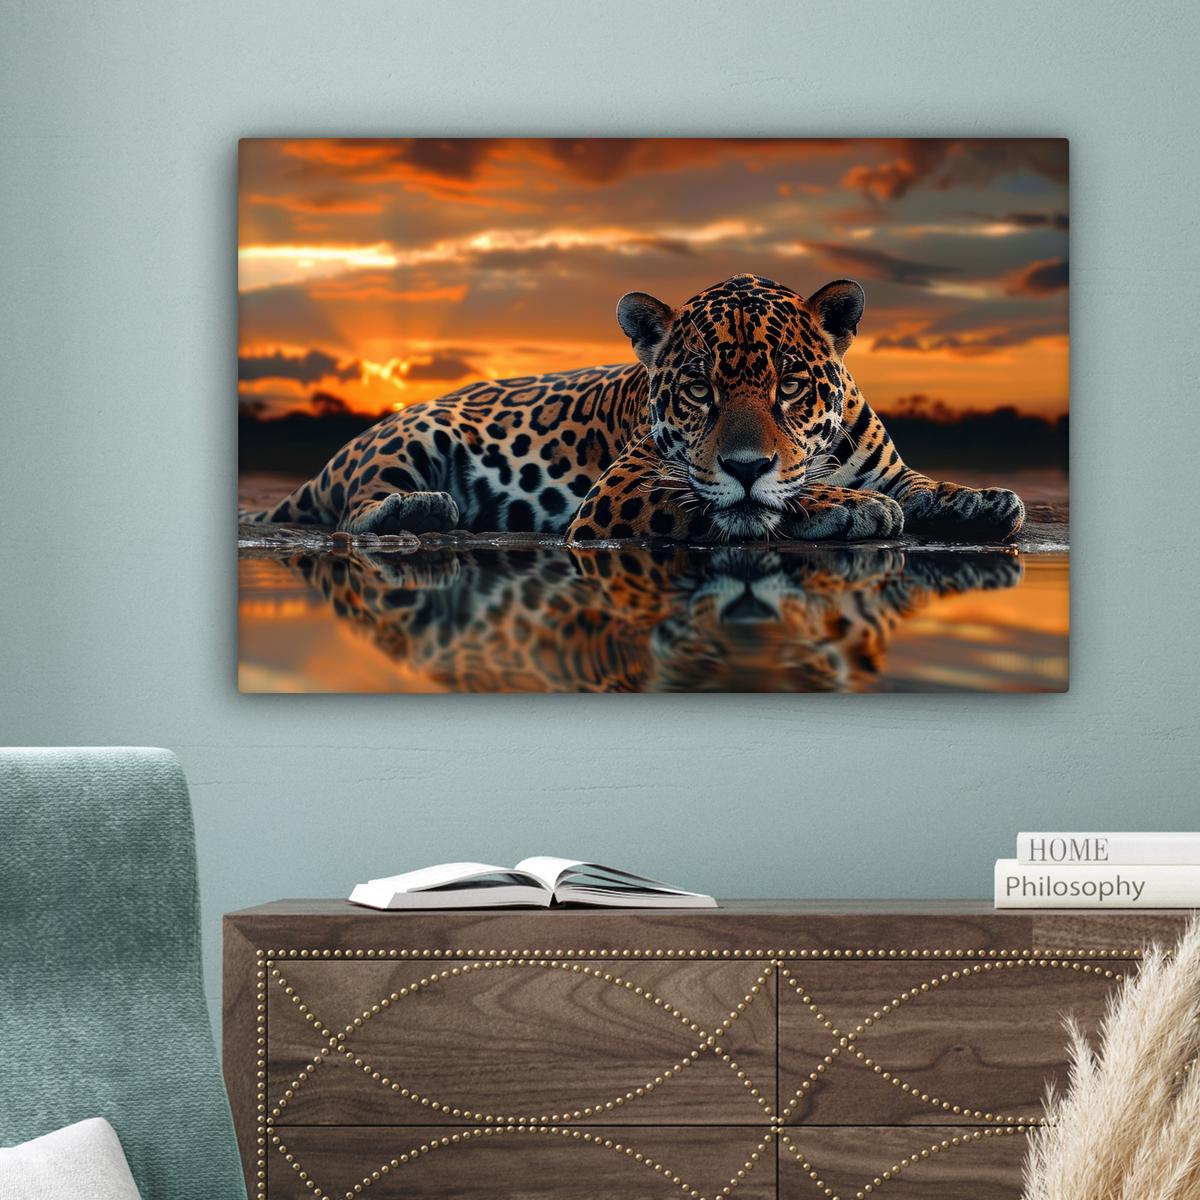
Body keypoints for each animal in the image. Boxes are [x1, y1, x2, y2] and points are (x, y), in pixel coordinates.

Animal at [239, 274, 1025, 544]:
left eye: (790, 387)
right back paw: (420, 509)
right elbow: (748, 503)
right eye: (700, 390)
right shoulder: (626, 486)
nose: (745, 464)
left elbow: (923, 485)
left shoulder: (889, 467)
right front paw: (847, 506)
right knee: (354, 509)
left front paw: (982, 500)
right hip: (411, 437)